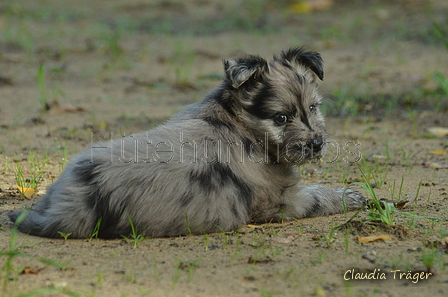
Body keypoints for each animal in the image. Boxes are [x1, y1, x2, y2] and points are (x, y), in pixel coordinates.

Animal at [8, 47, 366, 237]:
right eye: (280, 118)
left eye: (313, 108)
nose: (317, 143)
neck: (237, 122)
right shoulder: (281, 201)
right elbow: (317, 197)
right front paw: (349, 196)